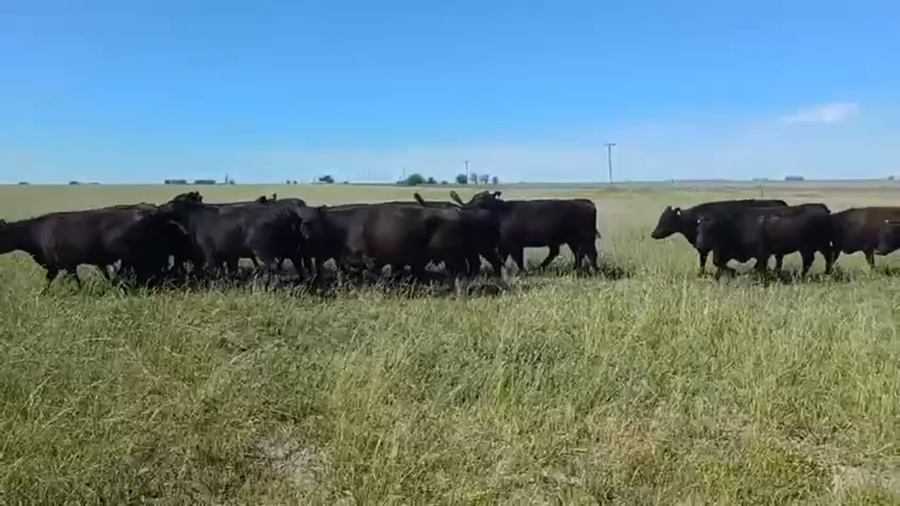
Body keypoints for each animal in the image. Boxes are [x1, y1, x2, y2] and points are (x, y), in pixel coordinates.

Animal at [448, 190, 600, 274]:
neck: (500, 213)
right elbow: (504, 258)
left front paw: (521, 272)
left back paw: (595, 271)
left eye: (482, 200)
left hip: (585, 237)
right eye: (476, 199)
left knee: (590, 253)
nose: (470, 207)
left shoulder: (514, 244)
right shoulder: (504, 244)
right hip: (571, 239)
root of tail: (587, 202)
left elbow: (517, 259)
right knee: (575, 253)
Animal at [650, 199, 790, 275]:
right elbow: (703, 261)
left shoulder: (715, 248)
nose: (653, 234)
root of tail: (780, 202)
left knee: (777, 258)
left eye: (667, 220)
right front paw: (701, 273)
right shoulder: (704, 248)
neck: (695, 220)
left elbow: (716, 262)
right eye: (661, 218)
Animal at [694, 203, 834, 279]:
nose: (699, 244)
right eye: (698, 229)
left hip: (816, 245)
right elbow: (719, 263)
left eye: (711, 230)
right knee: (811, 260)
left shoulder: (762, 253)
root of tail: (822, 209)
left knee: (823, 258)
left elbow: (761, 267)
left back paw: (820, 274)